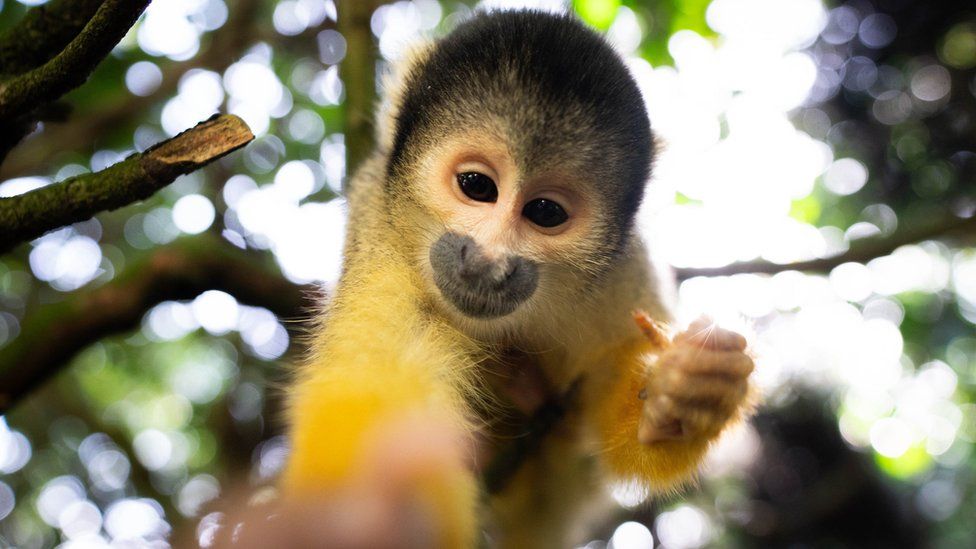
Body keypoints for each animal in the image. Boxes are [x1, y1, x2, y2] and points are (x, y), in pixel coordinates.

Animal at [282, 9, 756, 548]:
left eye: (545, 212)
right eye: (477, 186)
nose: (487, 261)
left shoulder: (623, 272)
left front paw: (685, 396)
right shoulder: (381, 228)